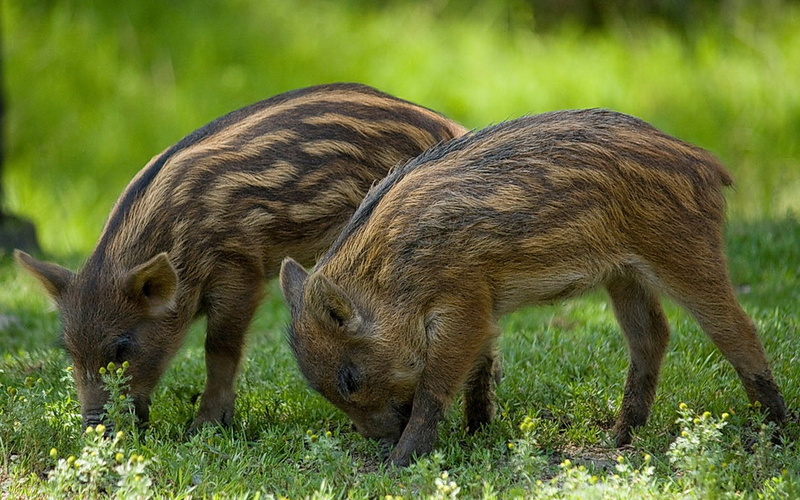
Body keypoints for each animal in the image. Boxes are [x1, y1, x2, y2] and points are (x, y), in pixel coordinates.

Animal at [15, 82, 467, 431]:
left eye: (122, 347)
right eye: (68, 349)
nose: (96, 430)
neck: (180, 241)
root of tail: (454, 127)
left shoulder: (239, 270)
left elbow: (219, 347)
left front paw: (206, 427)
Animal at [279, 109, 787, 466]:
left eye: (348, 378)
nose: (380, 444)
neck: (390, 273)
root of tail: (707, 163)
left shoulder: (463, 302)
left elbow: (435, 385)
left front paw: (403, 463)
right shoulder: (483, 308)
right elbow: (479, 369)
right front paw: (478, 434)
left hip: (686, 253)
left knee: (737, 329)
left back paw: (776, 432)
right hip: (624, 274)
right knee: (651, 336)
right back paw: (619, 438)